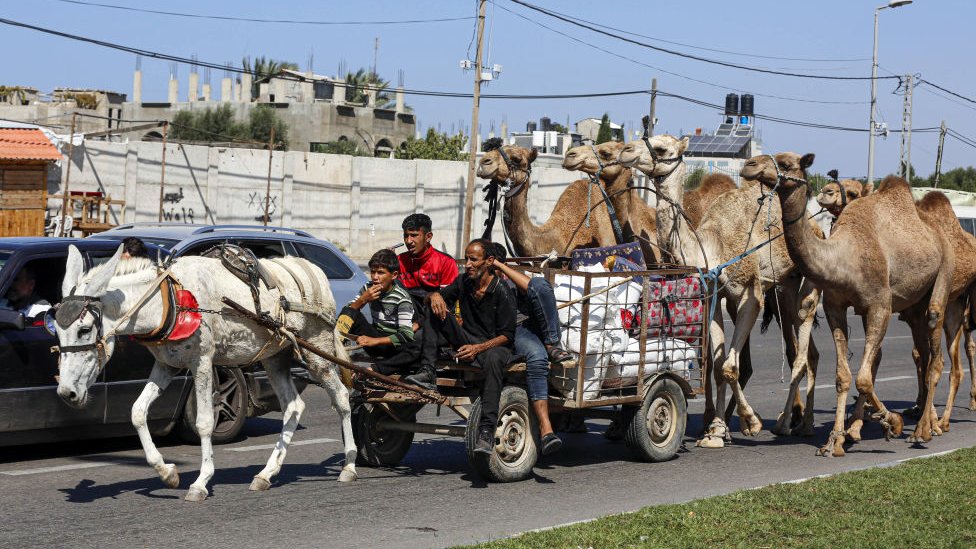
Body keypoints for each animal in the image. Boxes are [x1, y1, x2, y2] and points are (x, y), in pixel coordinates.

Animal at [53, 244, 356, 501]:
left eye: (84, 330)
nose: (67, 392)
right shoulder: (167, 365)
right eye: (56, 329)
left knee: (341, 398)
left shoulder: (202, 362)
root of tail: (312, 268)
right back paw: (266, 474)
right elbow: (137, 412)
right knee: (293, 407)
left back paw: (349, 464)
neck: (169, 299)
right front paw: (167, 472)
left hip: (317, 348)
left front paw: (200, 482)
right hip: (274, 356)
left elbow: (204, 422)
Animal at [618, 135, 823, 444]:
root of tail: (815, 224)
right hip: (782, 288)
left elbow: (729, 366)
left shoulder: (750, 294)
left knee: (802, 335)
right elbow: (716, 366)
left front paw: (751, 422)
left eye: (663, 149)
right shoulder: (716, 295)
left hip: (802, 279)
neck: (712, 246)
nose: (625, 150)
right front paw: (715, 429)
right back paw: (799, 421)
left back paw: (792, 423)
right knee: (805, 351)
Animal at [744, 153, 954, 456]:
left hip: (944, 272)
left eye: (785, 163)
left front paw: (892, 422)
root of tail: (938, 231)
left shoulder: (880, 306)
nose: (749, 165)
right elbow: (843, 375)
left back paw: (925, 430)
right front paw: (835, 440)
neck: (844, 257)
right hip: (914, 303)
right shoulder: (836, 307)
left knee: (936, 354)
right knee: (921, 354)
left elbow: (863, 377)